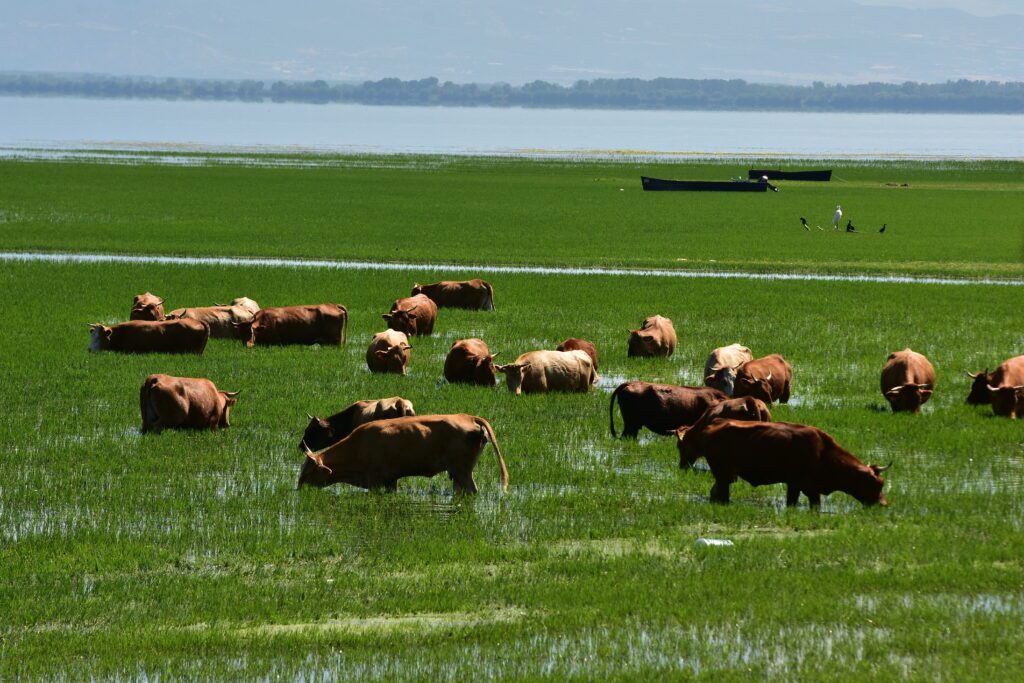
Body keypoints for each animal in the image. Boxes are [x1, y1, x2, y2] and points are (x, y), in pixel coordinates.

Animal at [299, 413, 509, 493]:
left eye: (307, 472)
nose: (299, 490)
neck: (358, 445)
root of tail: (468, 417)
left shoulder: (375, 480)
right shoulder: (391, 480)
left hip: (463, 471)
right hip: (457, 473)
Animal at [679, 417, 888, 507]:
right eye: (875, 483)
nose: (883, 504)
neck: (823, 452)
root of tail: (712, 426)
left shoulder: (809, 489)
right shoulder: (796, 484)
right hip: (724, 476)